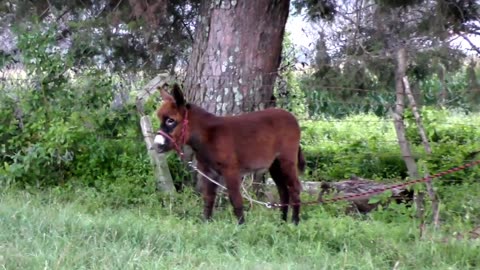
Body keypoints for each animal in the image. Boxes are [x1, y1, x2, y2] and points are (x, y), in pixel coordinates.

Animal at [154, 84, 304, 224]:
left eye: (170, 120)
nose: (156, 145)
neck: (208, 136)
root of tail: (291, 117)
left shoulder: (230, 170)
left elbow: (235, 199)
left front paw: (241, 227)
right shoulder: (208, 172)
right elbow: (208, 199)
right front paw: (206, 223)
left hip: (287, 159)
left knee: (294, 188)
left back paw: (294, 222)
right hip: (274, 164)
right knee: (283, 191)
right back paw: (282, 222)